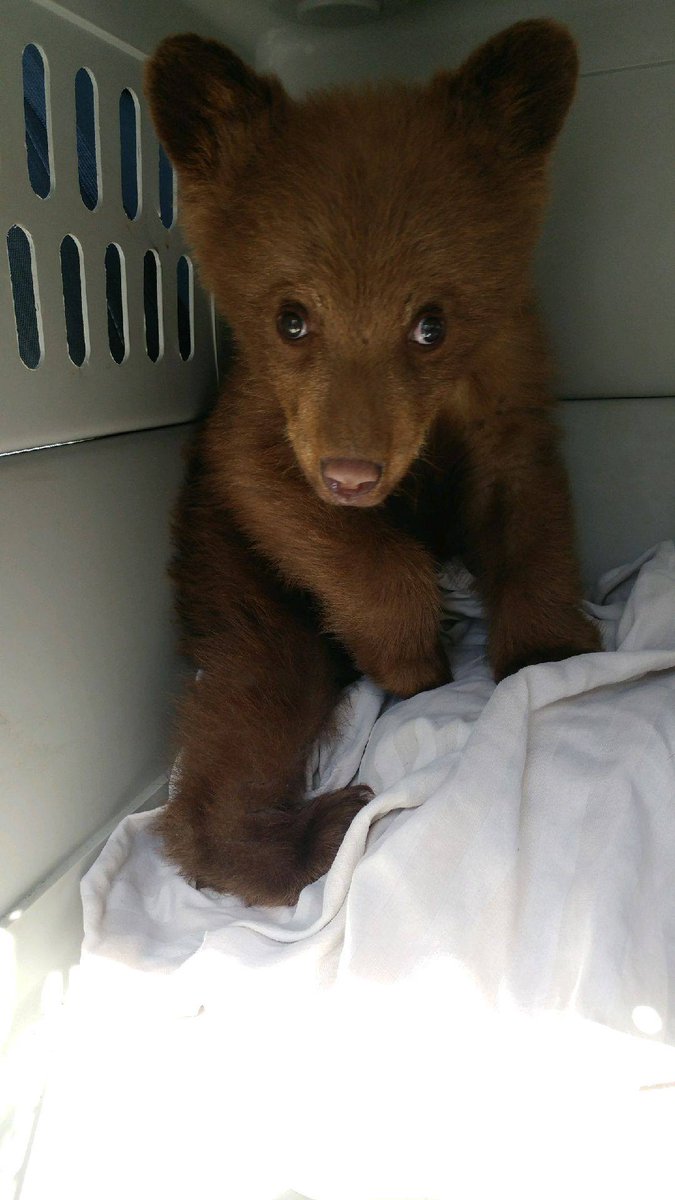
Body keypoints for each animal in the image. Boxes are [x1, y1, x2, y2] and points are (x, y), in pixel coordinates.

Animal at [145, 18, 601, 907]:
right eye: (291, 317)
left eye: (431, 322)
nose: (350, 476)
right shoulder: (259, 419)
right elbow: (282, 491)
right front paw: (410, 659)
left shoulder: (506, 385)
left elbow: (526, 505)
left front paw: (548, 656)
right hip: (228, 564)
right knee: (255, 692)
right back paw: (305, 835)